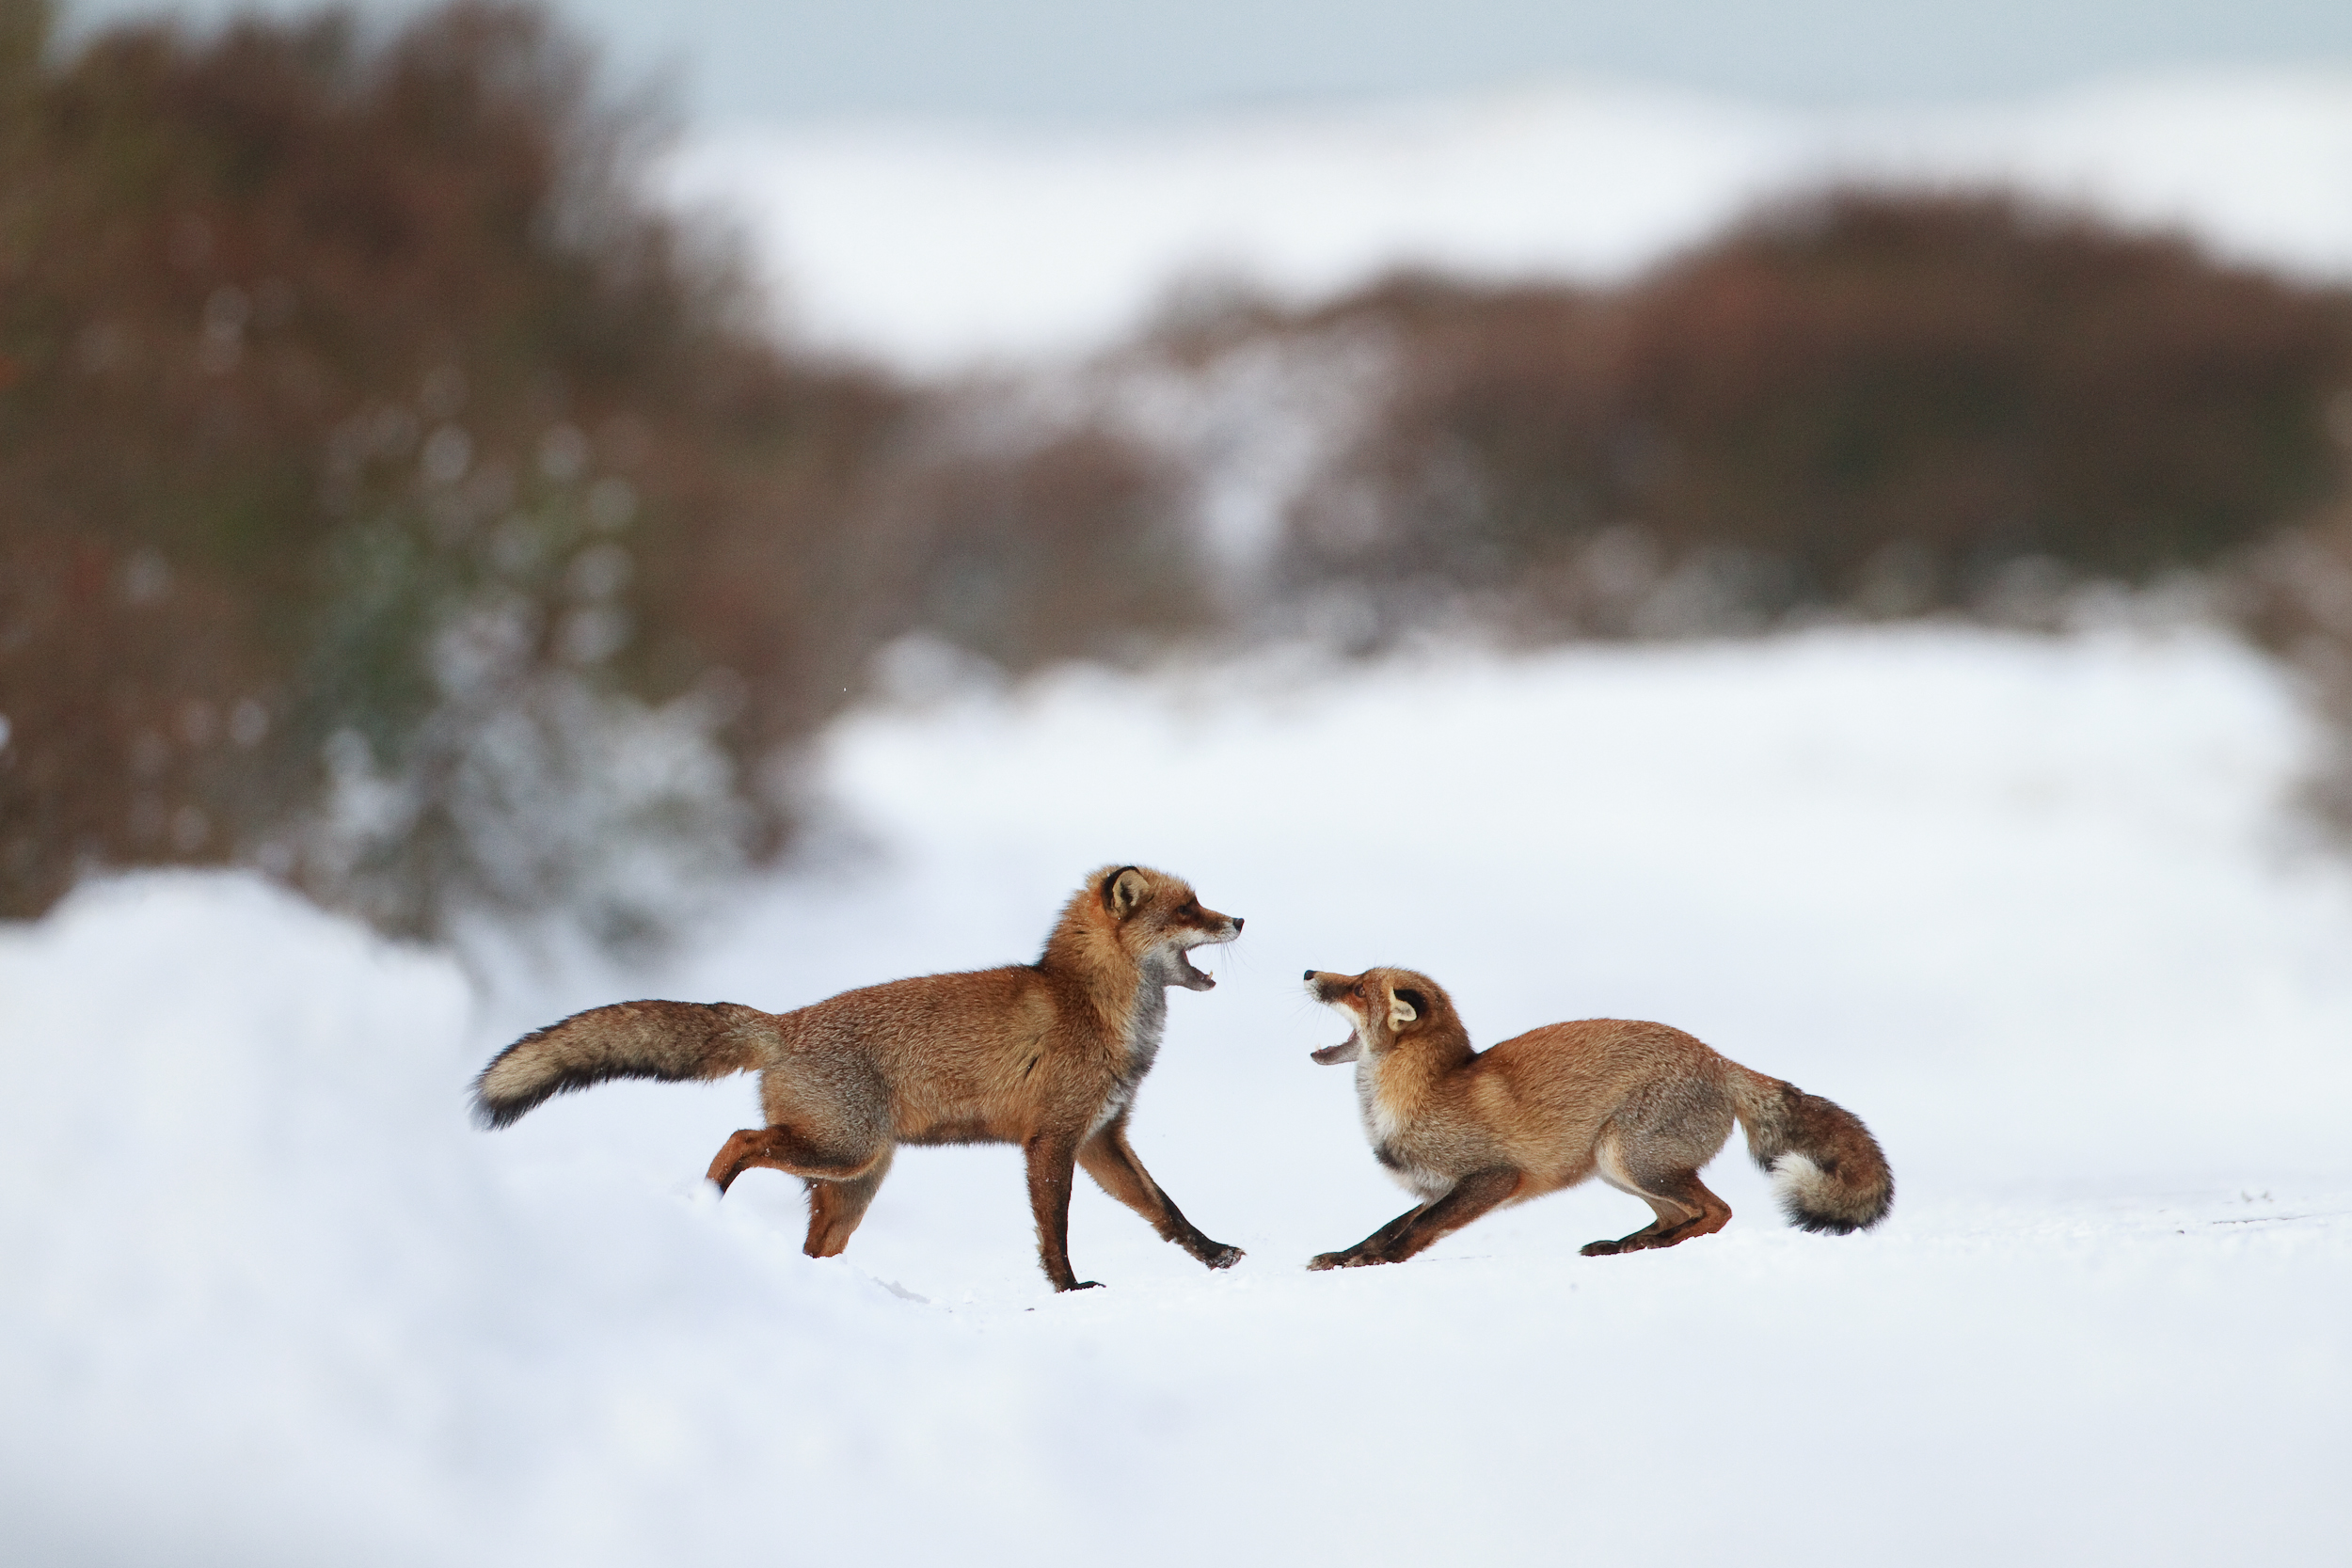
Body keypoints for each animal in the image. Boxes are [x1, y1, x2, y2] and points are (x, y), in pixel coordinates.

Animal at [472, 866, 1246, 1292]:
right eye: (1187, 910)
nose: (1239, 917)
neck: (1090, 1003)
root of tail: (784, 1023)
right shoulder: (1052, 1140)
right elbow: (1053, 1232)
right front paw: (1069, 1289)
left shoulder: (1101, 1137)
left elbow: (1166, 1210)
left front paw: (1213, 1255)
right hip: (846, 1152)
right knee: (738, 1139)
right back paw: (707, 1201)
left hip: (854, 1183)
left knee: (809, 1241)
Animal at [1301, 966, 1892, 1269]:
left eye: (1357, 987)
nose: (1309, 971)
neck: (1419, 1095)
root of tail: (1720, 1061)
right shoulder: (1437, 1187)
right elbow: (1388, 1226)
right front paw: (1346, 1256)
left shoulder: (1493, 1176)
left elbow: (1418, 1230)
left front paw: (1380, 1264)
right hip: (1620, 1169)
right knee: (1680, 1214)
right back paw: (1625, 1246)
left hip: (1632, 1158)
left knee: (1716, 1212)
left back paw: (1651, 1249)